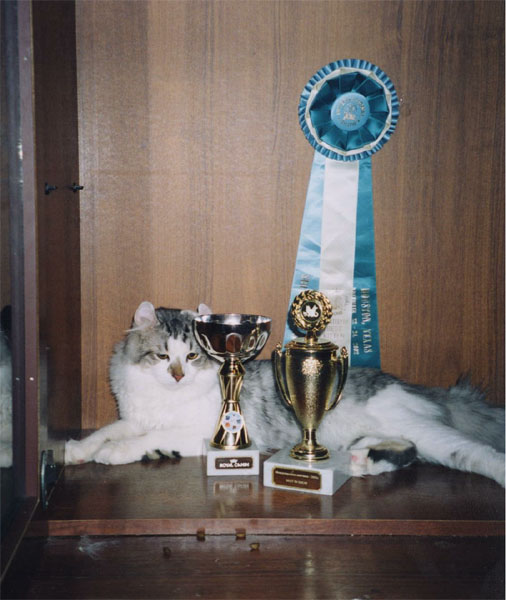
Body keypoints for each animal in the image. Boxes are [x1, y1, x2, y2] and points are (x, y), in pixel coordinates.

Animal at [65, 301, 505, 487]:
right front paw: (75, 451)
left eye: (191, 355)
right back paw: (362, 460)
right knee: (408, 452)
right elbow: (106, 431)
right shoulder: (133, 417)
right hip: (392, 435)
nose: (176, 376)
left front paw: (111, 454)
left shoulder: (202, 432)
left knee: (477, 453)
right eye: (161, 356)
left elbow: (143, 441)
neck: (164, 398)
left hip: (428, 432)